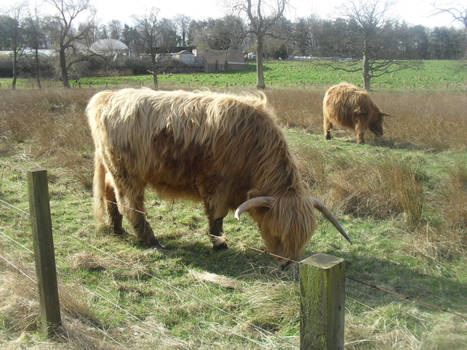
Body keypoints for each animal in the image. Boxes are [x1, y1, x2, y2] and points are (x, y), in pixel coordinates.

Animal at [87, 89, 352, 264]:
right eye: (278, 235)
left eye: (304, 239)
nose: (289, 264)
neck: (252, 145)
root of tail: (107, 96)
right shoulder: (216, 185)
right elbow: (217, 217)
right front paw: (220, 244)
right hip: (127, 174)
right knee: (130, 205)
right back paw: (150, 240)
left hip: (113, 169)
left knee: (111, 194)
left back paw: (117, 229)